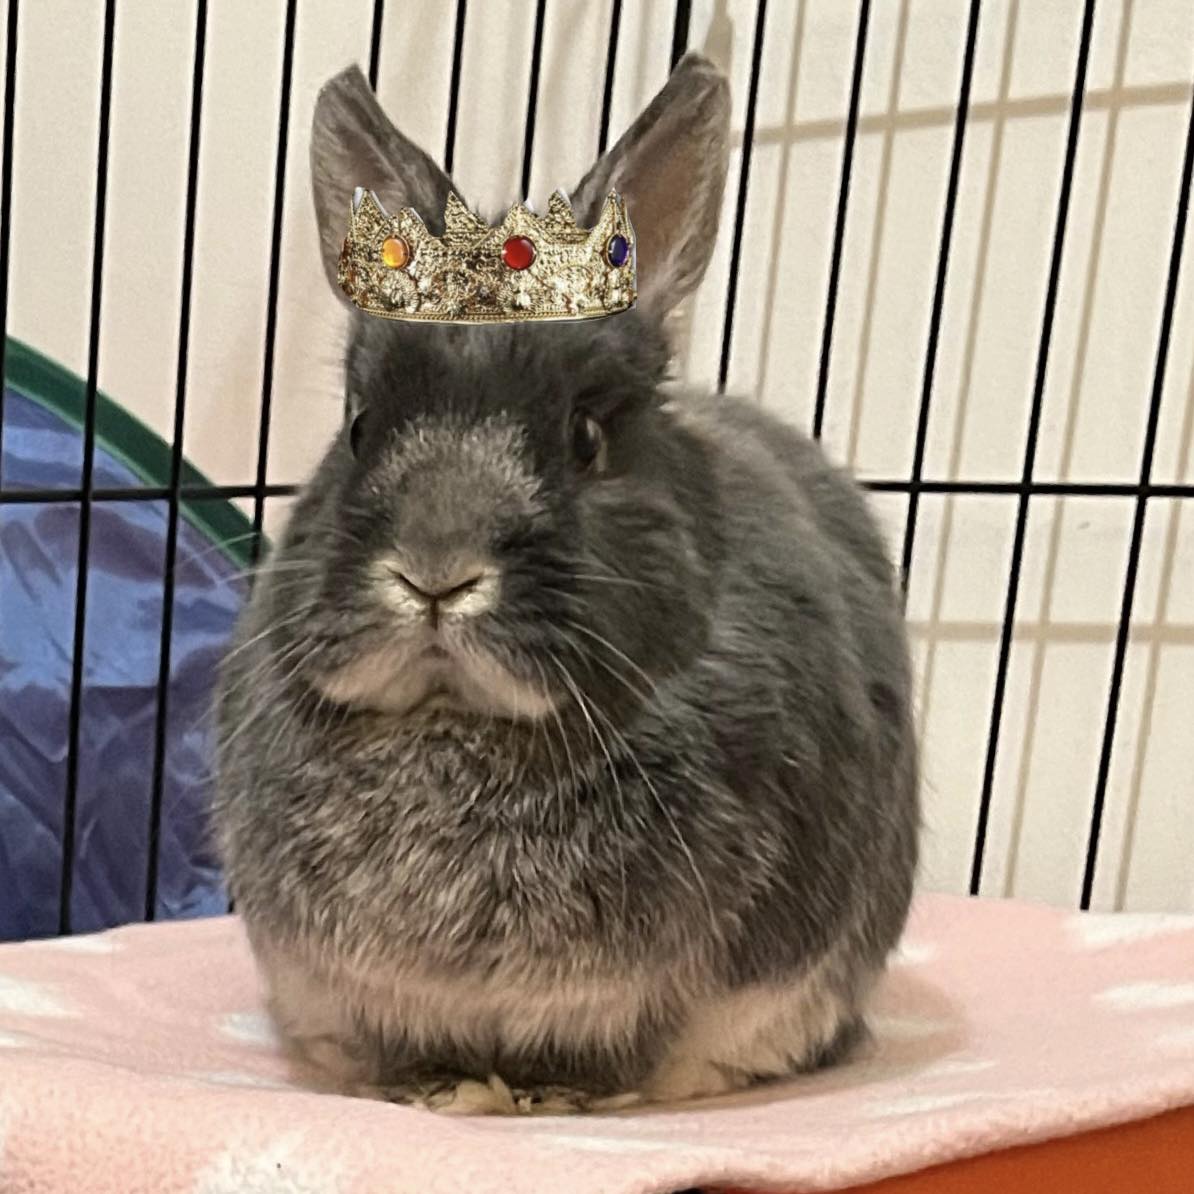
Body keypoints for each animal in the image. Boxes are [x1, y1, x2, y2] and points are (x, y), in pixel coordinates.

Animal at [213, 53, 918, 1115]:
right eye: (360, 425)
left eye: (587, 437)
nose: (436, 571)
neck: (460, 727)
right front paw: (437, 1089)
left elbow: (627, 1055)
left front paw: (550, 1099)